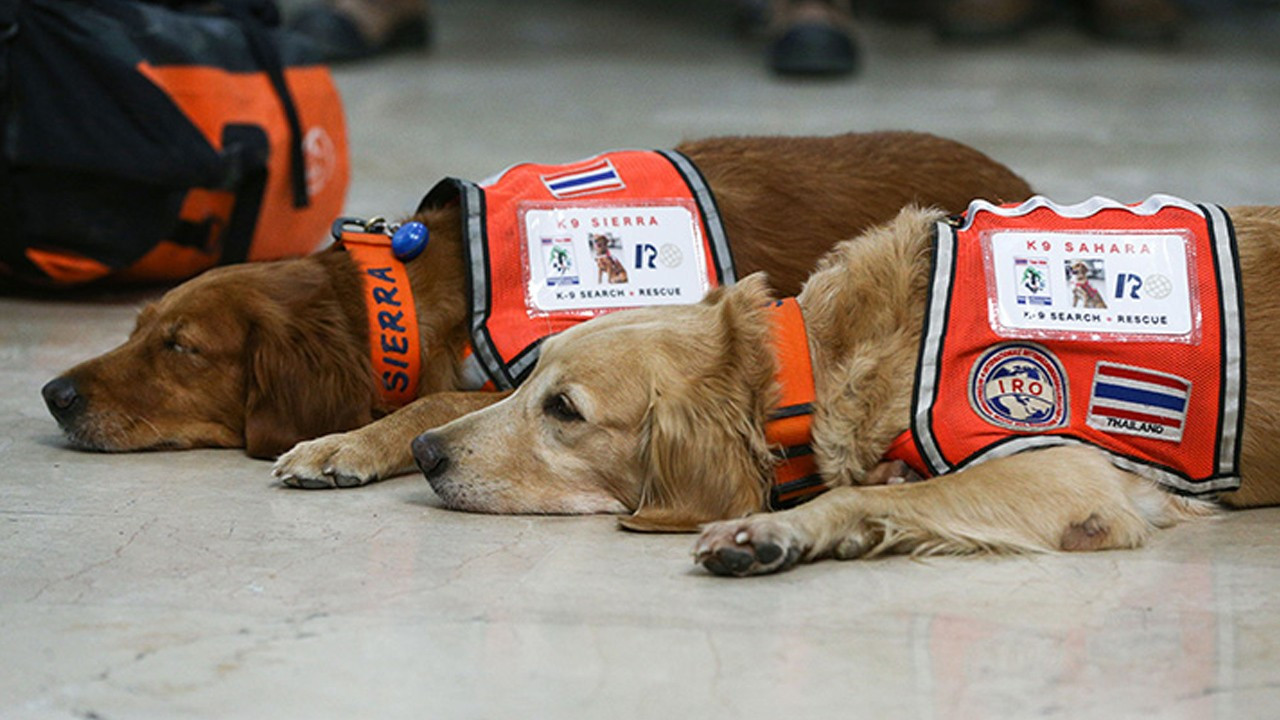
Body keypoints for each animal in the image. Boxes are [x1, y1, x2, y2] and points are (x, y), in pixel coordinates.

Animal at [42, 132, 1029, 476]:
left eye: (181, 347)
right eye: (138, 328)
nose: (54, 395)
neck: (416, 293)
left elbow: (433, 406)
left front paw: (342, 446)